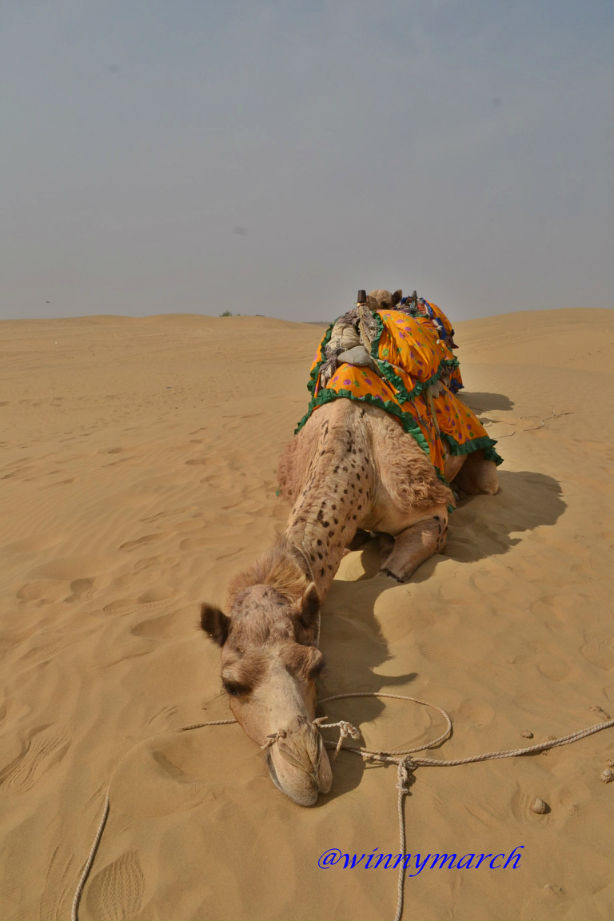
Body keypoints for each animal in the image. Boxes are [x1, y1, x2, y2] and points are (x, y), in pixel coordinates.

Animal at [201, 292, 499, 806]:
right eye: (230, 685)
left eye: (317, 665)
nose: (308, 773)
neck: (353, 455)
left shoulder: (430, 513)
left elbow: (392, 570)